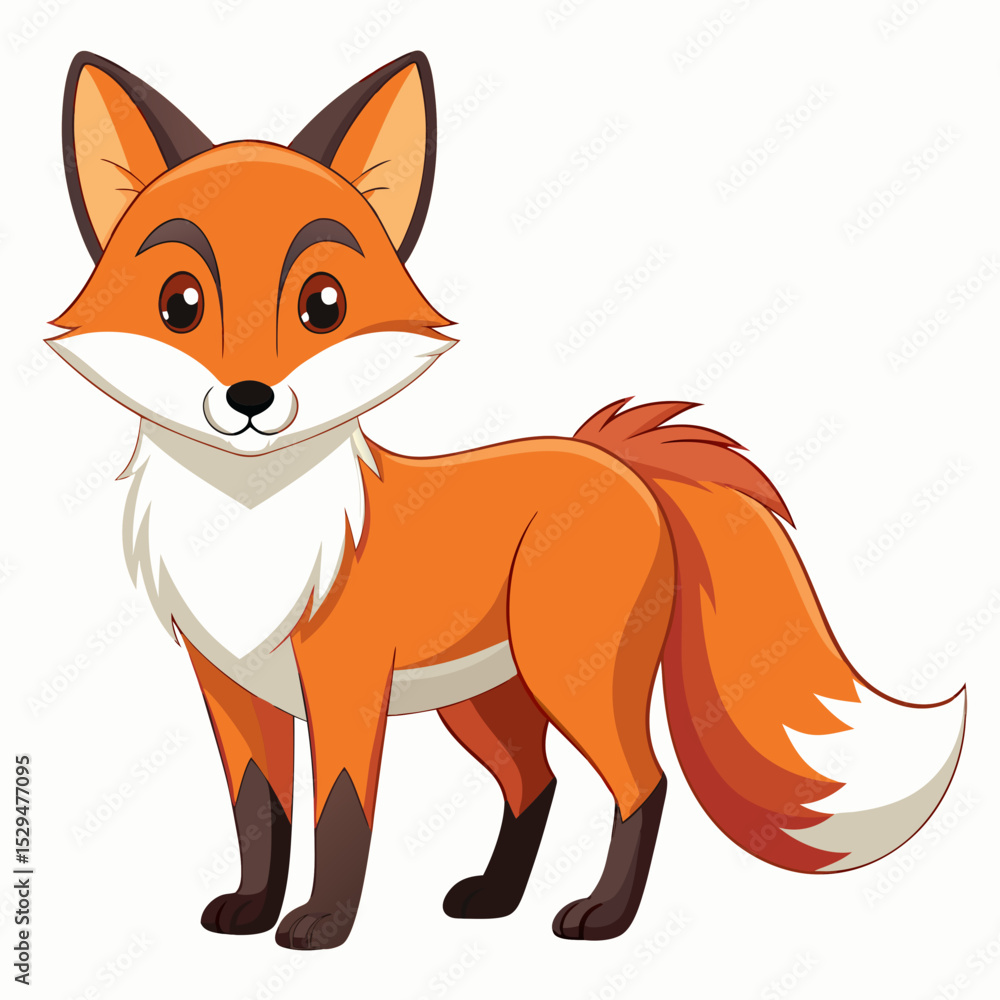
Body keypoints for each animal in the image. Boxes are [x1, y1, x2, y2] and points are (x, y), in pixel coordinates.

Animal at [50, 51, 967, 950]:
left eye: (323, 305)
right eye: (180, 304)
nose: (250, 398)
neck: (248, 526)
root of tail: (610, 458)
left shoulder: (346, 682)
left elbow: (342, 810)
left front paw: (322, 924)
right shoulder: (229, 685)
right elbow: (257, 811)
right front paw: (250, 909)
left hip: (570, 679)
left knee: (642, 782)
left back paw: (602, 917)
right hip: (488, 703)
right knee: (536, 783)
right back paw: (494, 898)